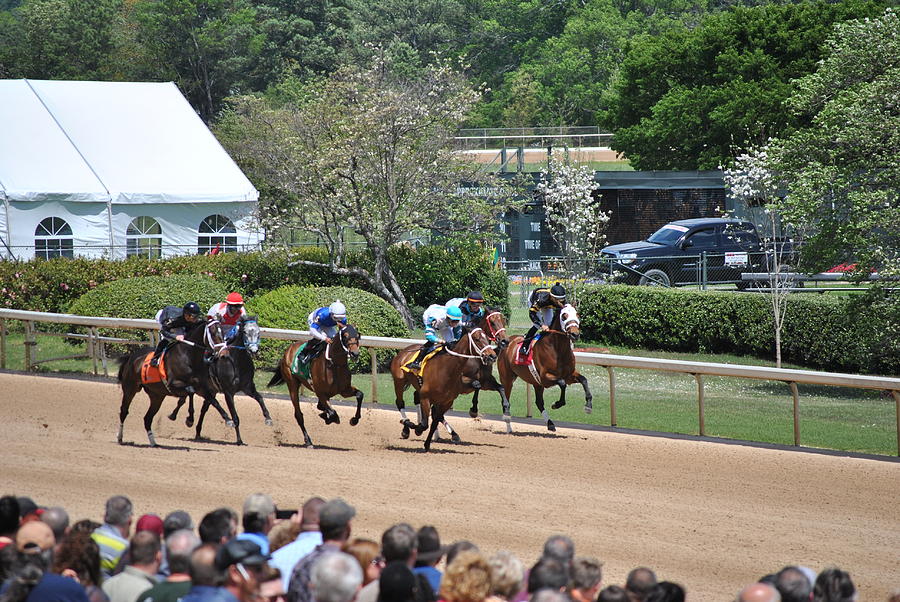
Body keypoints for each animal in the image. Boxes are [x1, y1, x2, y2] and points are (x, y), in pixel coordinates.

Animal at [116, 318, 230, 446]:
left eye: (223, 333)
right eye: (214, 333)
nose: (224, 354)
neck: (188, 356)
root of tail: (131, 357)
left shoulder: (201, 388)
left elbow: (213, 401)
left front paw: (228, 419)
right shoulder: (173, 384)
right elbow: (190, 391)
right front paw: (189, 419)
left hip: (157, 396)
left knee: (147, 418)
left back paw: (153, 442)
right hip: (130, 389)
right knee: (124, 411)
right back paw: (120, 437)